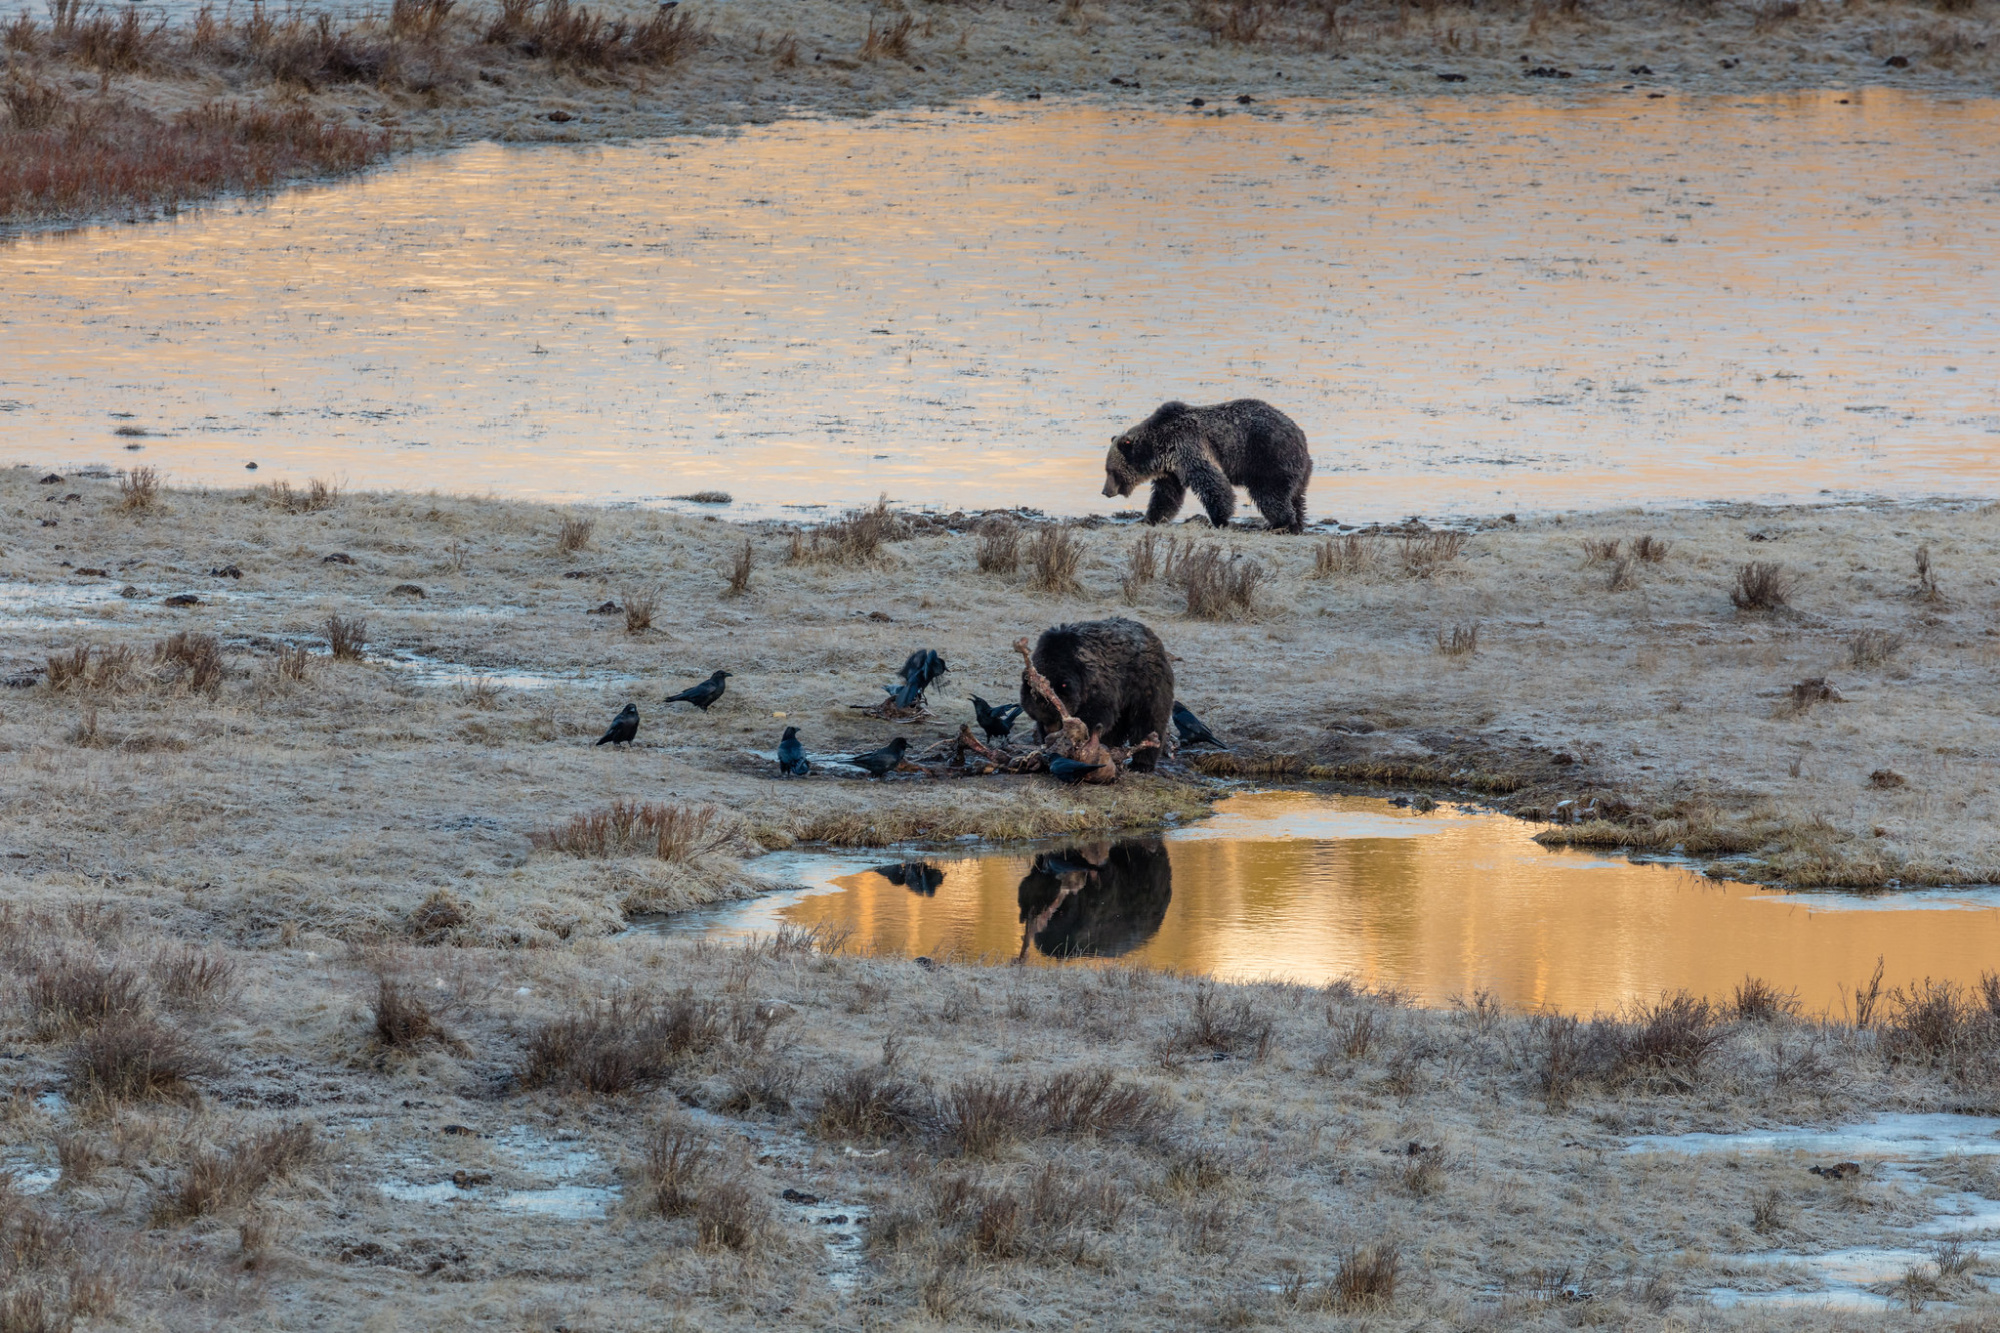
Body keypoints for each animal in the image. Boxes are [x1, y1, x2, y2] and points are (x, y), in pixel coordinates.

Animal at [1016, 612, 1168, 768]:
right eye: (1040, 717)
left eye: (1057, 717)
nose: (1050, 732)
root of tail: (1151, 634)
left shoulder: (1095, 680)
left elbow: (1096, 711)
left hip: (1146, 683)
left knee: (1149, 719)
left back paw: (1142, 763)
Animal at [1096, 400, 1312, 528]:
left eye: (1110, 471)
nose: (1105, 491)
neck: (1159, 447)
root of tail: (1300, 435)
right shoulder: (1171, 471)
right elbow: (1166, 496)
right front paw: (1149, 518)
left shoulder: (1187, 447)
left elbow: (1211, 481)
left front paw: (1220, 519)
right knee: (1296, 497)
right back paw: (1297, 523)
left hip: (1268, 456)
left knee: (1270, 493)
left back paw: (1279, 523)